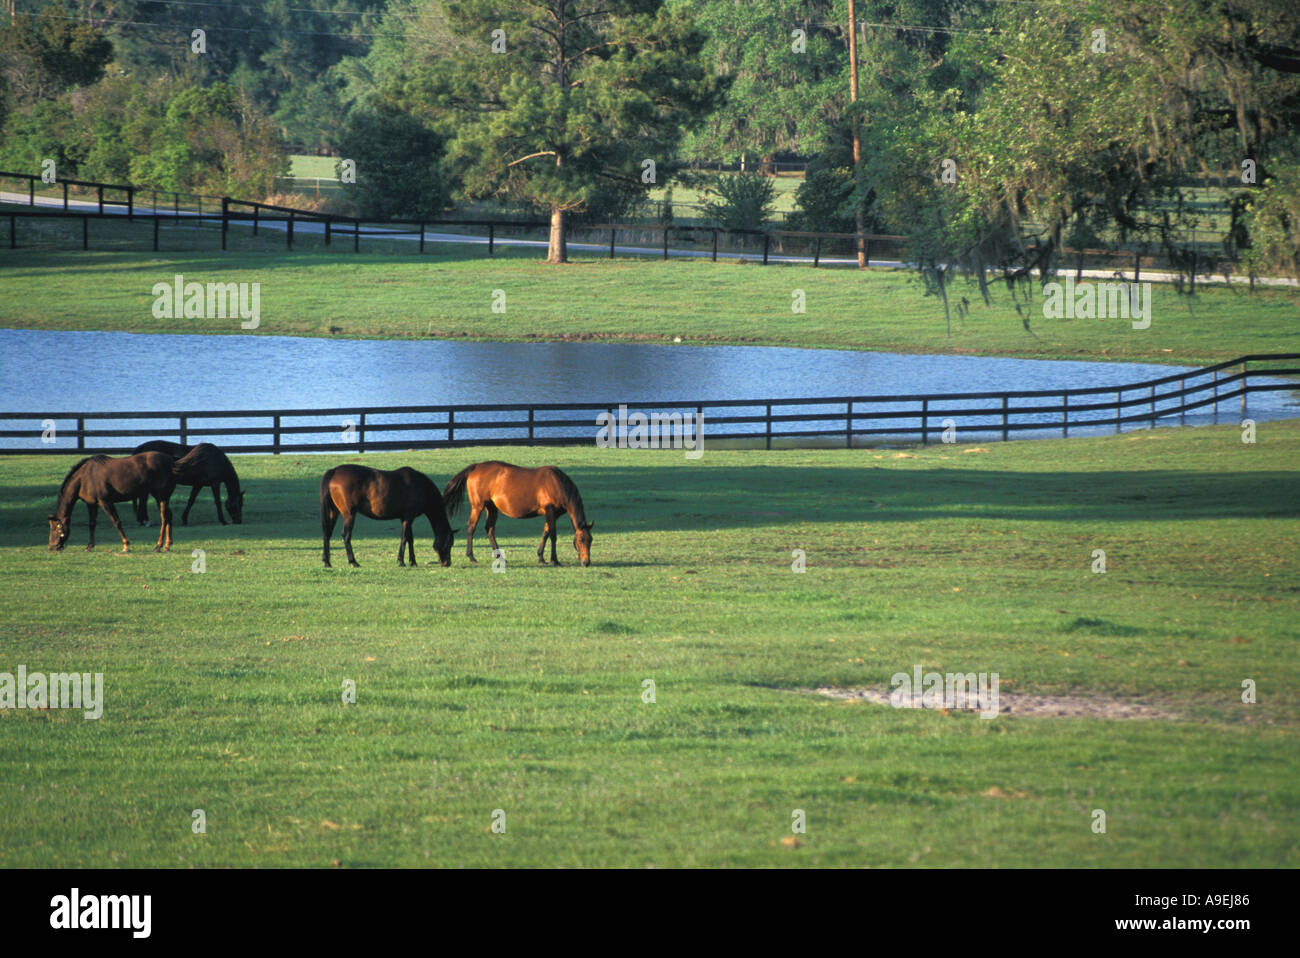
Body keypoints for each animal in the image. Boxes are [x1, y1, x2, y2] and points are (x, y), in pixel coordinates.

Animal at [48, 454, 176, 553]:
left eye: (55, 528)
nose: (52, 547)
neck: (85, 477)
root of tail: (170, 462)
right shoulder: (92, 504)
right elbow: (92, 524)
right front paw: (89, 546)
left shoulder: (105, 502)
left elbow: (116, 522)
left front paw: (126, 546)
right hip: (162, 498)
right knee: (169, 516)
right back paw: (167, 545)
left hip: (161, 496)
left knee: (164, 518)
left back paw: (158, 546)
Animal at [318, 465, 452, 566]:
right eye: (448, 544)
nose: (447, 563)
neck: (421, 486)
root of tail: (334, 471)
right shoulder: (409, 517)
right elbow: (404, 538)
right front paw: (401, 561)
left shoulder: (405, 518)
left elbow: (410, 538)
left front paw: (413, 561)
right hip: (349, 514)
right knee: (346, 535)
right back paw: (353, 561)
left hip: (333, 512)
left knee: (327, 534)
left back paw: (327, 562)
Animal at [441, 460, 595, 564]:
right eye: (580, 540)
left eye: (590, 540)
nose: (586, 562)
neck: (557, 484)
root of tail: (476, 466)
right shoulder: (550, 511)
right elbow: (553, 535)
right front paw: (554, 560)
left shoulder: (552, 514)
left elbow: (545, 533)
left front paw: (541, 557)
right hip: (478, 506)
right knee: (471, 527)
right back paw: (472, 557)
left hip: (491, 507)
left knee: (489, 529)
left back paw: (500, 557)